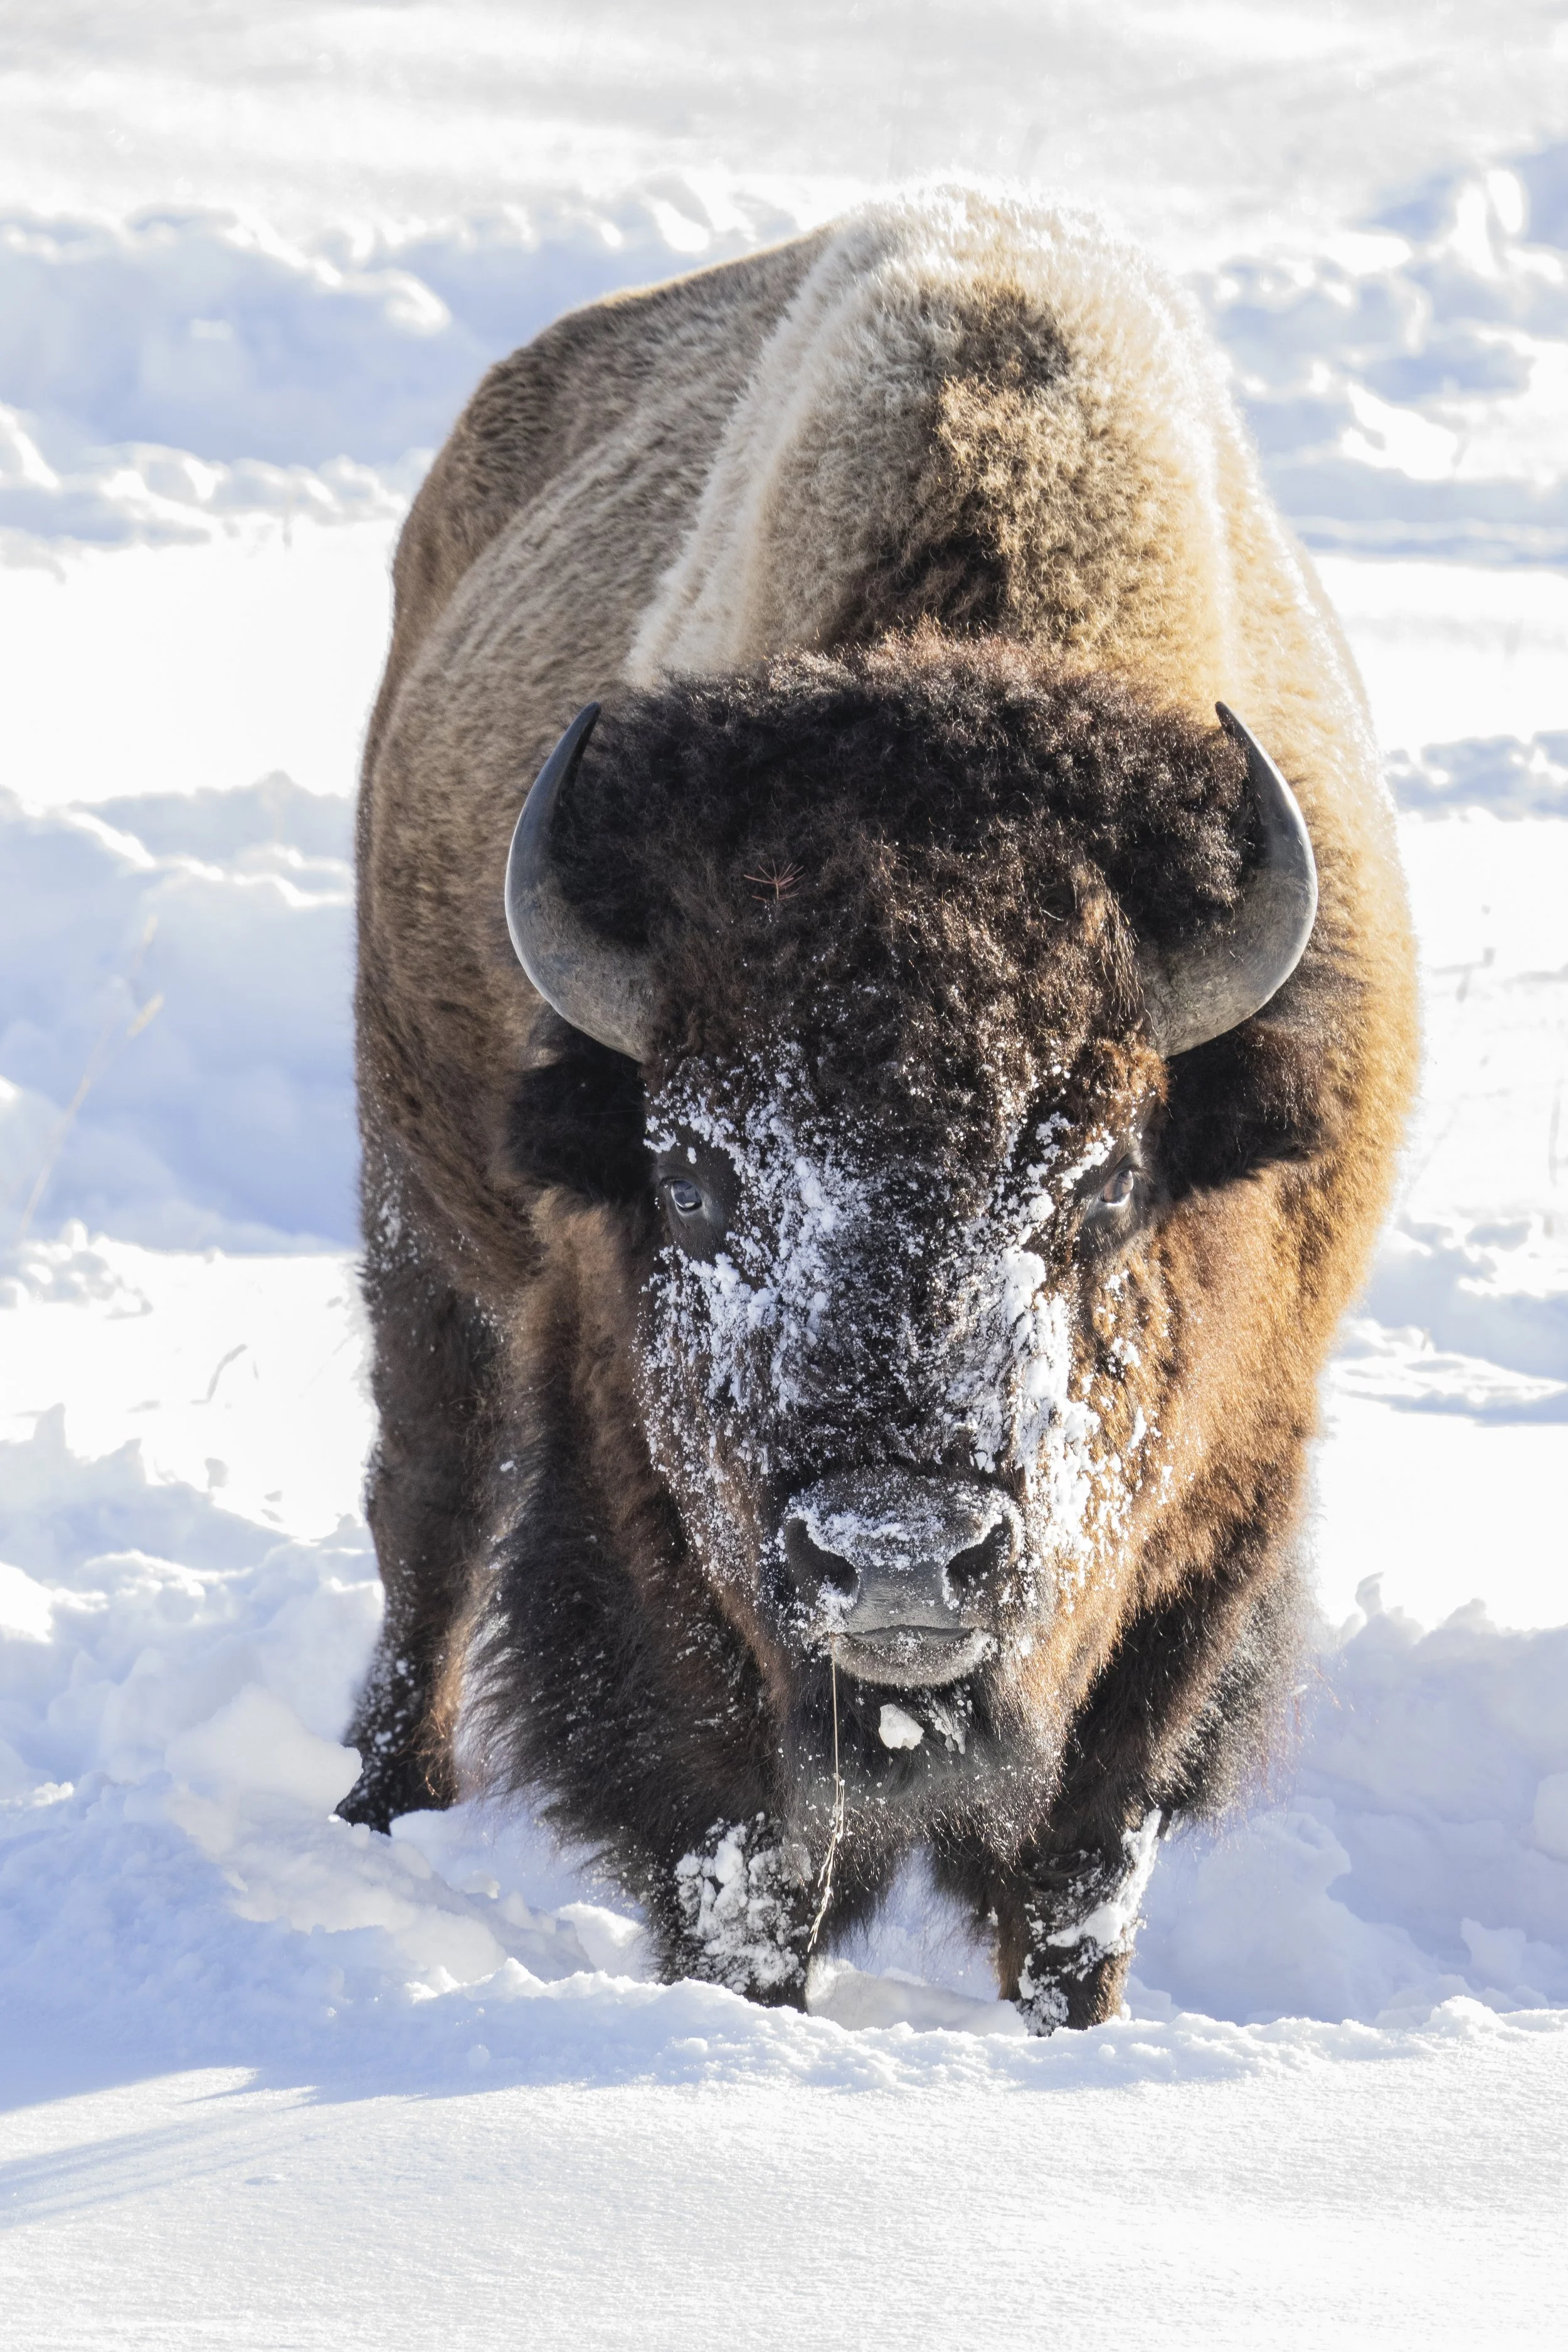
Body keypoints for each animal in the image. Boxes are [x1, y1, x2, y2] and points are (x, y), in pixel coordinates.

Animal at [341, 193, 1417, 2029]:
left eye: (1103, 1179)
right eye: (699, 1173)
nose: (901, 1558)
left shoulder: (1208, 1527)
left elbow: (1078, 1859)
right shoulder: (651, 1524)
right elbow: (747, 1845)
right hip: (419, 1218)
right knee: (430, 1503)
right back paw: (379, 1800)